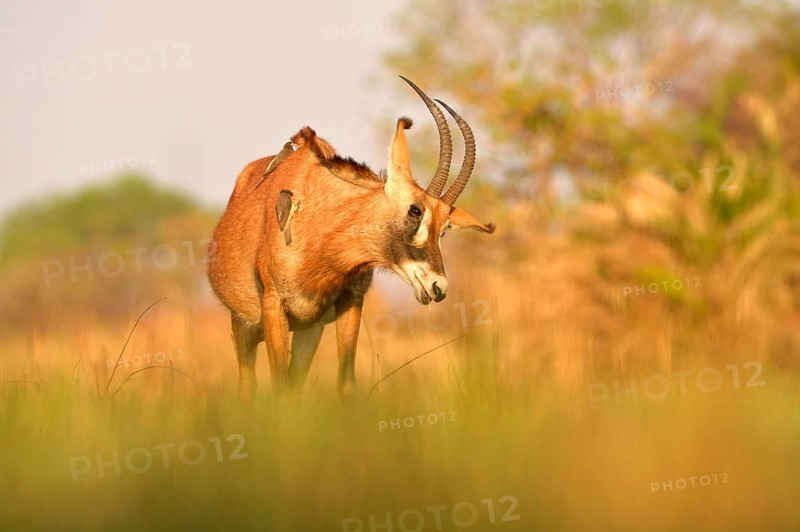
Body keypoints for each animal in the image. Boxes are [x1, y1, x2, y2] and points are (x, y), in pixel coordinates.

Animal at [206, 76, 495, 395]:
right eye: (415, 209)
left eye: (445, 228)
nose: (438, 287)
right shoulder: (272, 306)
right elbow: (278, 385)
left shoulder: (350, 301)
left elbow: (345, 382)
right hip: (244, 327)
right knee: (248, 384)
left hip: (308, 331)